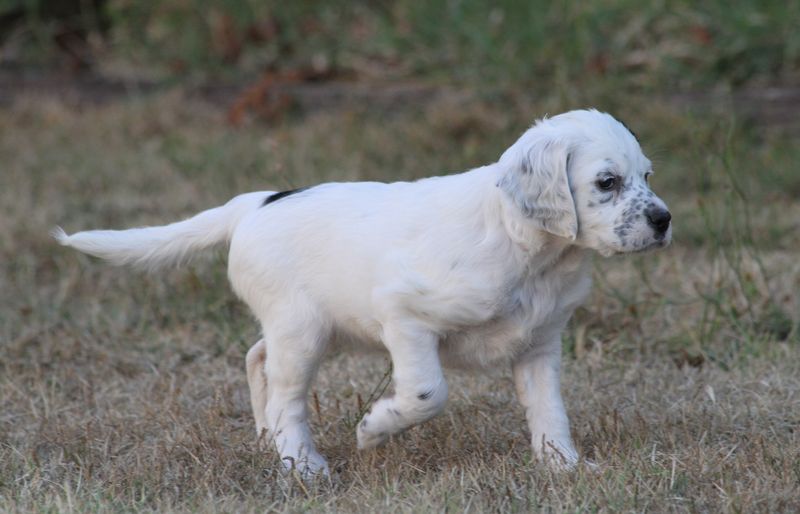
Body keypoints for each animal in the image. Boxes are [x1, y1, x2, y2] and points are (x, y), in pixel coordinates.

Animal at [54, 109, 671, 476]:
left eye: (647, 175)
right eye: (607, 182)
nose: (665, 220)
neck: (532, 250)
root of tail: (257, 202)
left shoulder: (540, 344)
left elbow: (550, 410)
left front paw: (563, 466)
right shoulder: (405, 313)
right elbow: (428, 392)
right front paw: (373, 430)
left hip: (306, 328)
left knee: (258, 360)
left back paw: (267, 439)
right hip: (303, 330)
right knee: (287, 393)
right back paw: (301, 464)